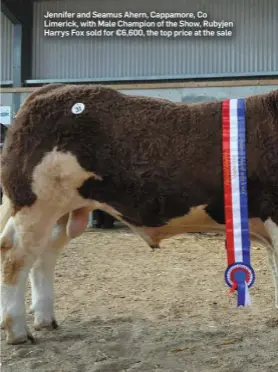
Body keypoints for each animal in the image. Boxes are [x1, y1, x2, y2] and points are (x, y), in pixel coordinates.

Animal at [0, 83, 278, 342]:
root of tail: (51, 89)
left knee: (44, 256)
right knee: (15, 256)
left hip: (61, 212)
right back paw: (18, 332)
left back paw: (45, 320)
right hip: (36, 205)